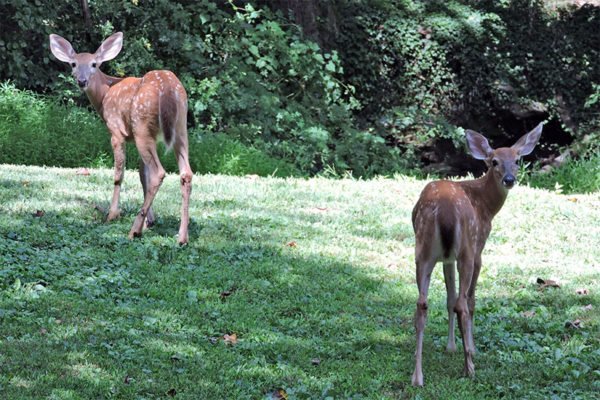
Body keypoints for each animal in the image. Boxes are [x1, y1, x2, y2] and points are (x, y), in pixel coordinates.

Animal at [50, 32, 195, 244]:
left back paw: (134, 231)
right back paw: (182, 236)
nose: (82, 81)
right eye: (73, 64)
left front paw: (112, 215)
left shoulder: (116, 131)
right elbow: (142, 175)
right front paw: (150, 221)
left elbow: (119, 174)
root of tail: (168, 89)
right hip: (179, 128)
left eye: (94, 64)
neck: (105, 94)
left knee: (159, 173)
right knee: (185, 174)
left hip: (142, 125)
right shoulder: (142, 137)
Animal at [408, 123, 544, 386]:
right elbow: (470, 301)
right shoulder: (479, 248)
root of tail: (446, 209)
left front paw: (450, 347)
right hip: (466, 251)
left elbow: (449, 298)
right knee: (462, 303)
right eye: (494, 161)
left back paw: (417, 377)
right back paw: (469, 368)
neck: (485, 205)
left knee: (422, 303)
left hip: (423, 250)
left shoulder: (447, 258)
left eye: (517, 160)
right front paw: (471, 348)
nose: (509, 179)